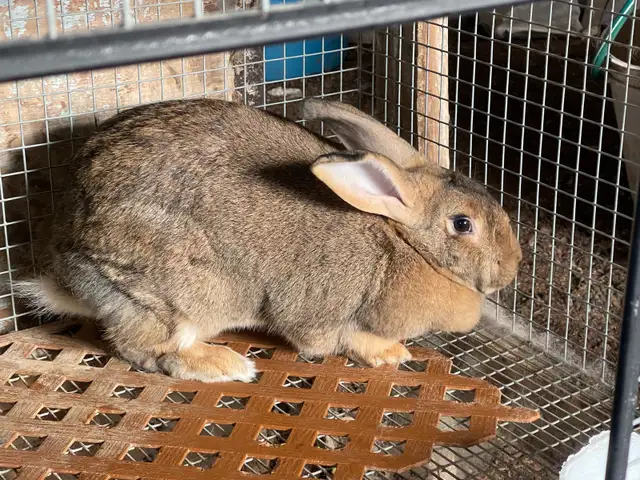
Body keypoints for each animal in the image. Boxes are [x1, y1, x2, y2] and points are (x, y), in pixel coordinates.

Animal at [14, 98, 522, 383]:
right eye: (463, 224)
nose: (511, 269)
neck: (401, 240)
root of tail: (70, 268)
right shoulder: (325, 310)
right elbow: (335, 340)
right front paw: (389, 353)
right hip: (176, 295)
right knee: (148, 350)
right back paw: (225, 366)